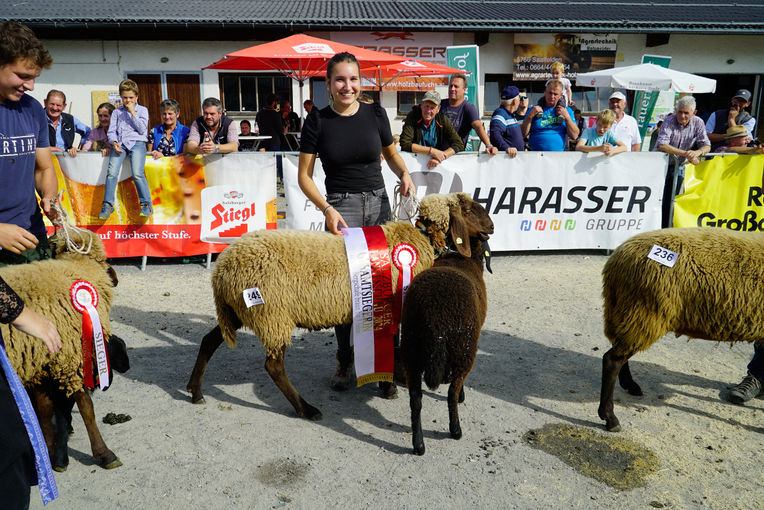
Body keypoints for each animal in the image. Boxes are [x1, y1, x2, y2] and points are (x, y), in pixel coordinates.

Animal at [0, 228, 122, 470]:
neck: (78, 267)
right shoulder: (72, 358)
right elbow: (86, 407)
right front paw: (104, 453)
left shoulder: (40, 361)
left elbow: (45, 408)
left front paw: (48, 447)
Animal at [400, 195, 496, 454]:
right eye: (471, 210)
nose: (492, 226)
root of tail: (436, 320)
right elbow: (455, 388)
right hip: (464, 348)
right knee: (452, 392)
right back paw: (456, 430)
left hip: (411, 350)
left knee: (415, 399)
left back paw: (419, 444)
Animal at [600, 227, 764, 430]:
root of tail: (616, 259)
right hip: (643, 314)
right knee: (612, 360)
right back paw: (610, 418)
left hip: (626, 313)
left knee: (619, 353)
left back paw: (630, 385)